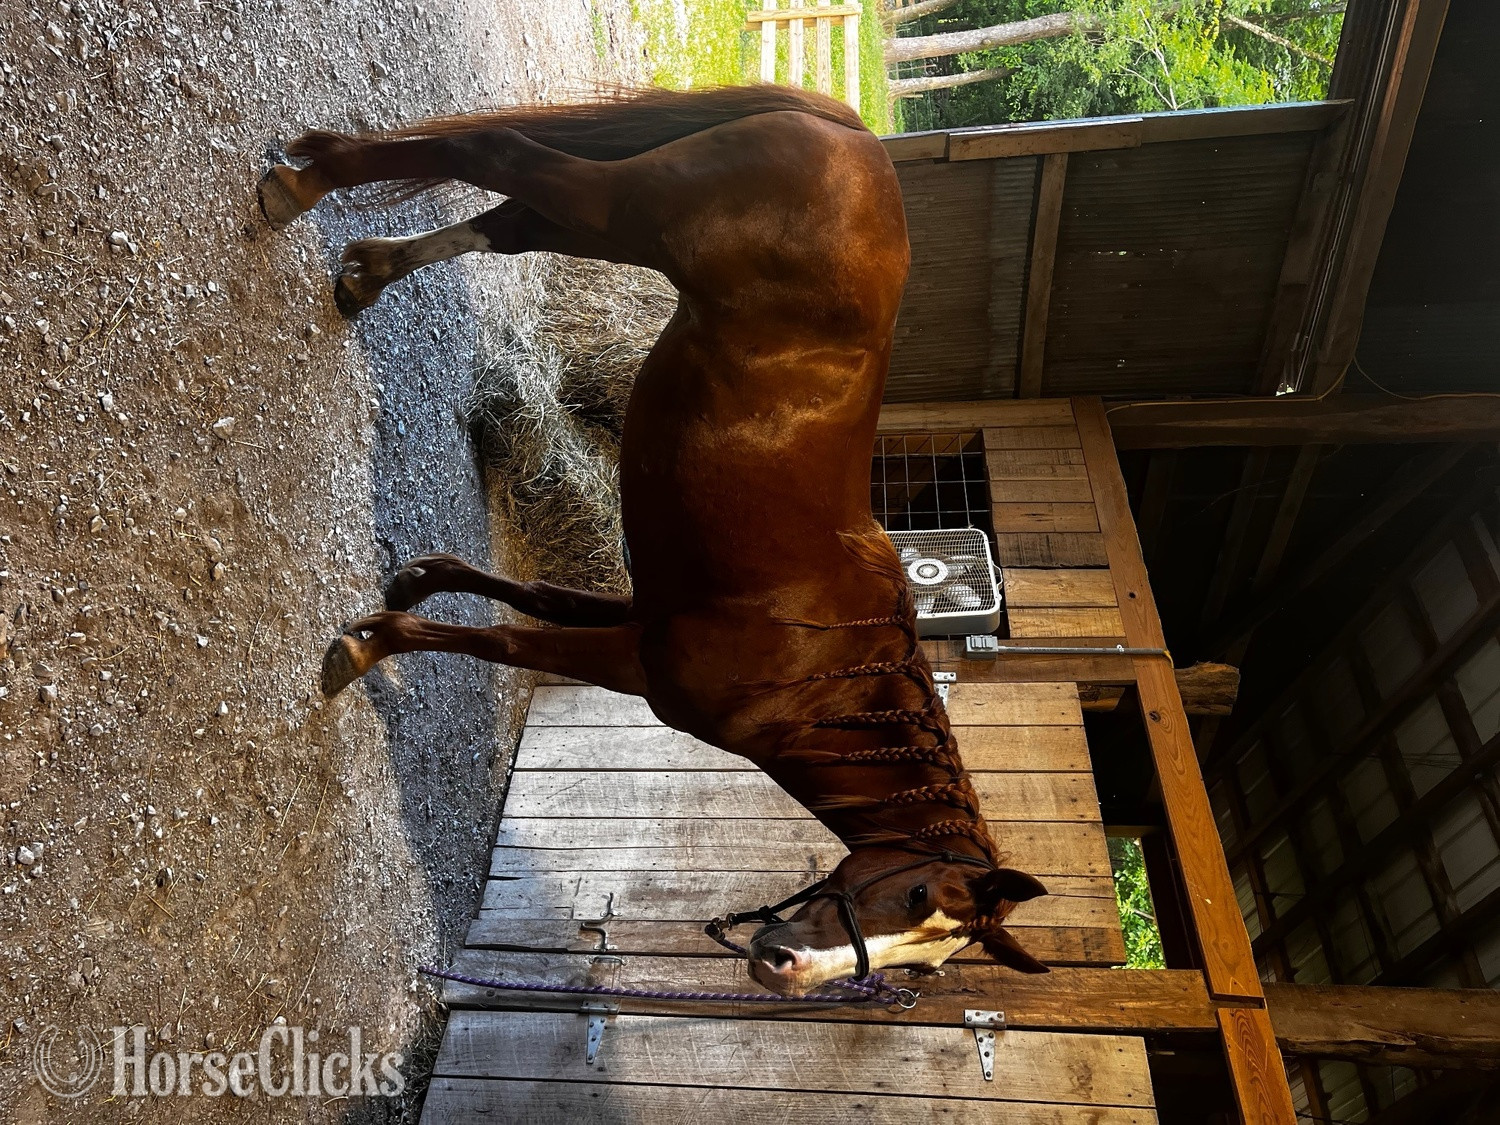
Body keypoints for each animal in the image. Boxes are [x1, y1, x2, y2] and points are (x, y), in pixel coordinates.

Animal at [261, 84, 1048, 997]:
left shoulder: (638, 610)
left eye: (922, 963)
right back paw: (307, 182)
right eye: (915, 889)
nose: (782, 967)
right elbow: (503, 640)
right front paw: (370, 644)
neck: (826, 668)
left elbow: (531, 594)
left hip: (608, 221)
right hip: (625, 208)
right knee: (498, 153)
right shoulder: (635, 662)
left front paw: (421, 577)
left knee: (509, 220)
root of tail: (857, 137)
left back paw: (366, 267)